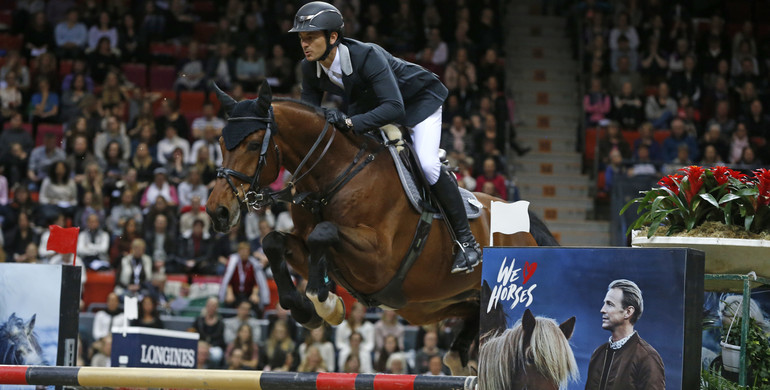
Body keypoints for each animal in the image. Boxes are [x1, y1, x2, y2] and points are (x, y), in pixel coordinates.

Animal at [204, 83, 552, 374]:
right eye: (220, 142)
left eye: (252, 145)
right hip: (433, 305)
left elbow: (323, 233)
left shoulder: (377, 262)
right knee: (466, 331)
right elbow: (273, 241)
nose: (217, 211)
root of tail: (525, 224)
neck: (334, 176)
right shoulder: (311, 250)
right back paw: (459, 361)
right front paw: (308, 309)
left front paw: (325, 303)